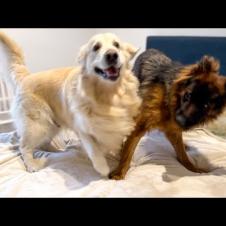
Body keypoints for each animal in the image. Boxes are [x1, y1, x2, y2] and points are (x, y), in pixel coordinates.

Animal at [110, 48, 226, 179]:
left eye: (205, 106)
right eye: (187, 95)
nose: (180, 121)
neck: (168, 100)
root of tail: (150, 49)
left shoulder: (173, 131)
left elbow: (183, 155)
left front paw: (194, 169)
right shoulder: (139, 125)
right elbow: (128, 152)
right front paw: (119, 173)